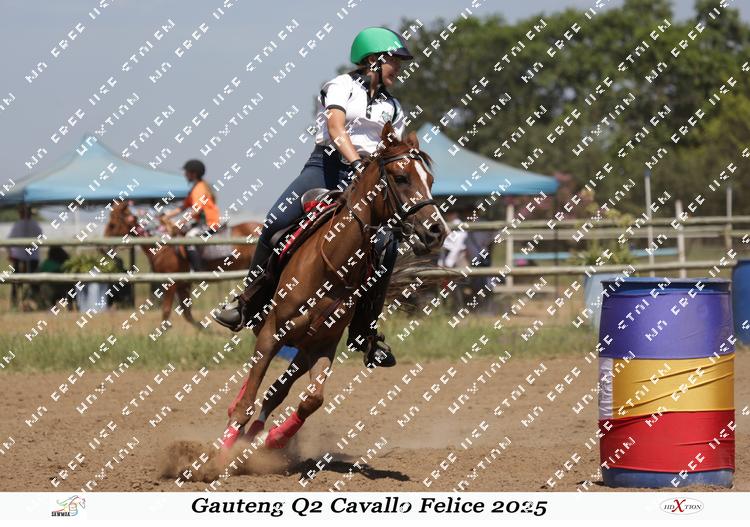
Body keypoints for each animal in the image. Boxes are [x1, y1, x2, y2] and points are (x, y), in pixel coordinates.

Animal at [104, 202, 262, 326]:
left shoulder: (171, 283)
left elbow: (166, 311)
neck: (163, 247)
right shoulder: (183, 284)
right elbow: (187, 314)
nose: (104, 245)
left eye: (112, 224)